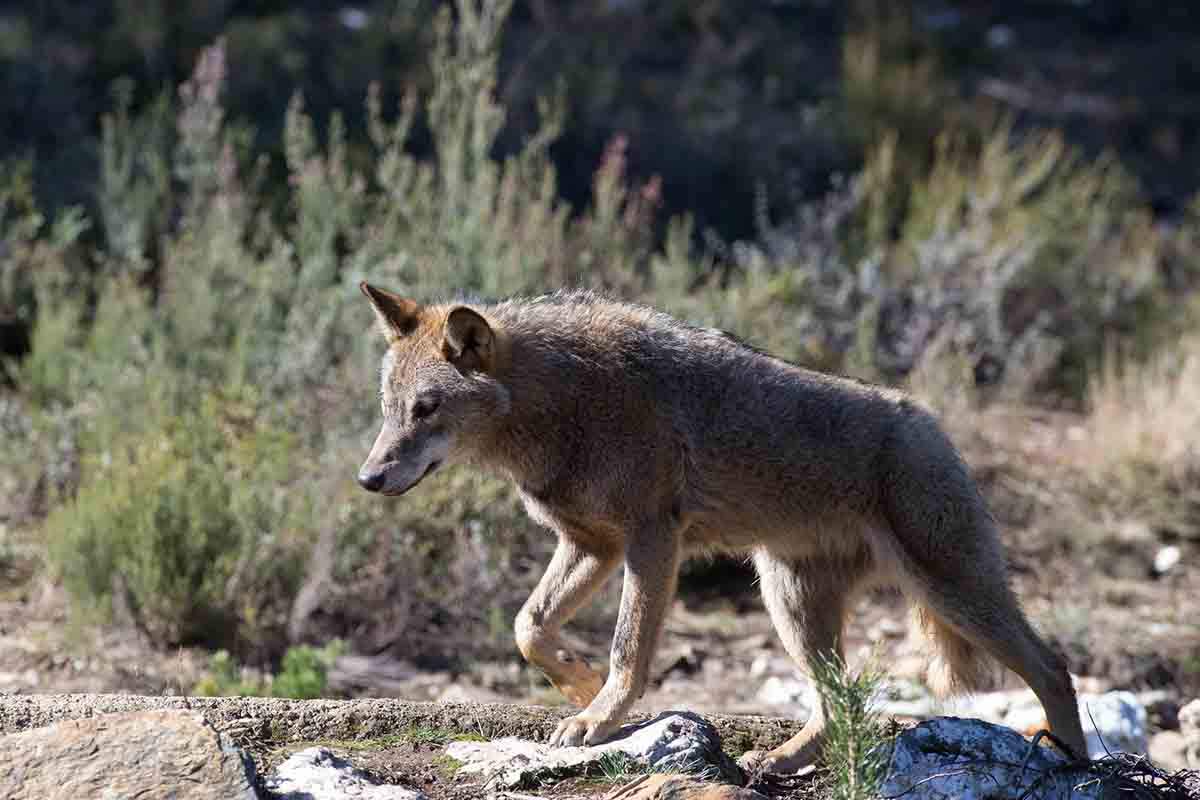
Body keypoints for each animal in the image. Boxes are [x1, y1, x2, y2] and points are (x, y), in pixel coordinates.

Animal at [352, 284, 1089, 772]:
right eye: (389, 409)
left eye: (427, 408)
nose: (368, 477)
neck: (563, 401)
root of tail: (932, 422)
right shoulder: (593, 544)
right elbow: (527, 627)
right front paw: (578, 687)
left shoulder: (650, 540)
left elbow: (627, 650)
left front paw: (598, 716)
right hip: (791, 605)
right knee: (840, 703)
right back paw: (779, 762)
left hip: (951, 593)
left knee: (1054, 666)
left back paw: (1077, 764)